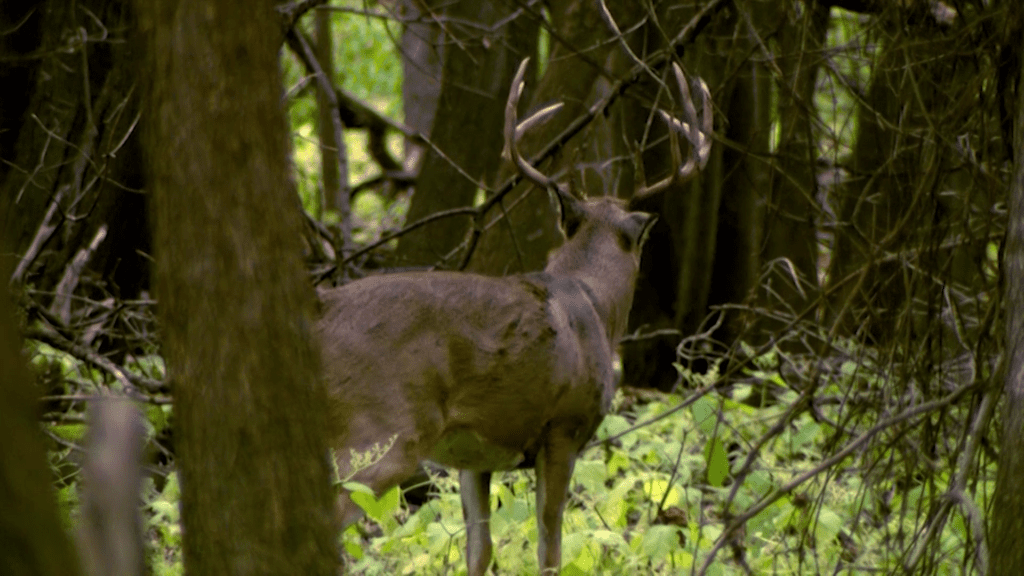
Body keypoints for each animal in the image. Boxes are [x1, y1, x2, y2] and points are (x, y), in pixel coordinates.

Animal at [319, 59, 712, 573]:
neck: (594, 306)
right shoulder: (563, 426)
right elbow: (550, 546)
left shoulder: (474, 453)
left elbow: (479, 550)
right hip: (381, 429)